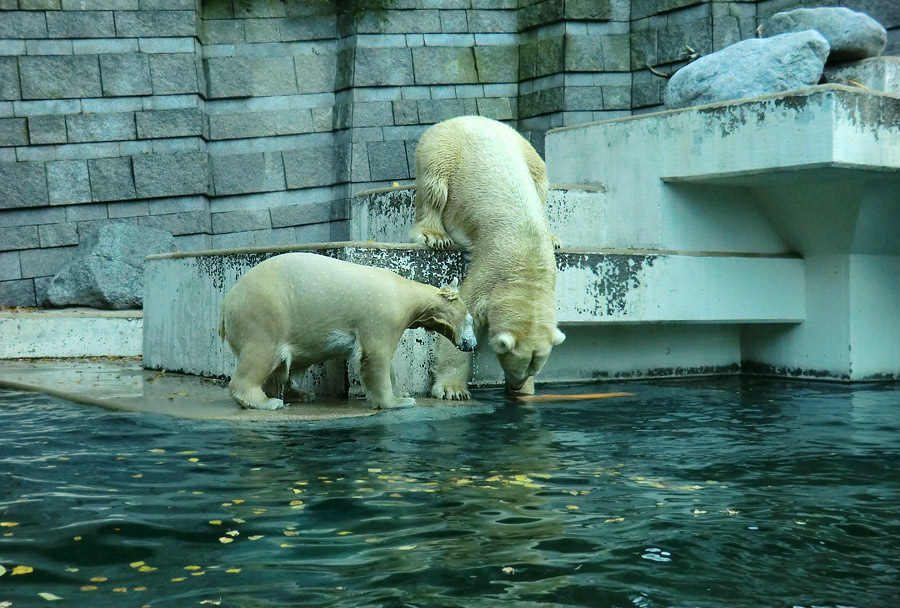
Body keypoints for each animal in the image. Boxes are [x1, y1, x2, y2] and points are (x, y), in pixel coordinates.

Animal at [219, 252, 478, 408]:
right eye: (470, 320)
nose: (472, 344)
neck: (406, 294)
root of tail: (224, 306)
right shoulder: (382, 315)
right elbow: (375, 358)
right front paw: (398, 402)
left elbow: (388, 366)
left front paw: (402, 392)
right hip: (263, 313)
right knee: (261, 356)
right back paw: (268, 402)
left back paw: (300, 394)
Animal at [412, 115, 568, 400]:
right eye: (514, 363)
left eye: (534, 368)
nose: (516, 386)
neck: (528, 263)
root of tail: (472, 118)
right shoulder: (490, 270)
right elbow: (466, 313)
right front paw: (453, 390)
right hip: (442, 147)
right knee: (434, 187)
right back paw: (434, 235)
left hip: (526, 150)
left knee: (541, 183)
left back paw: (554, 238)